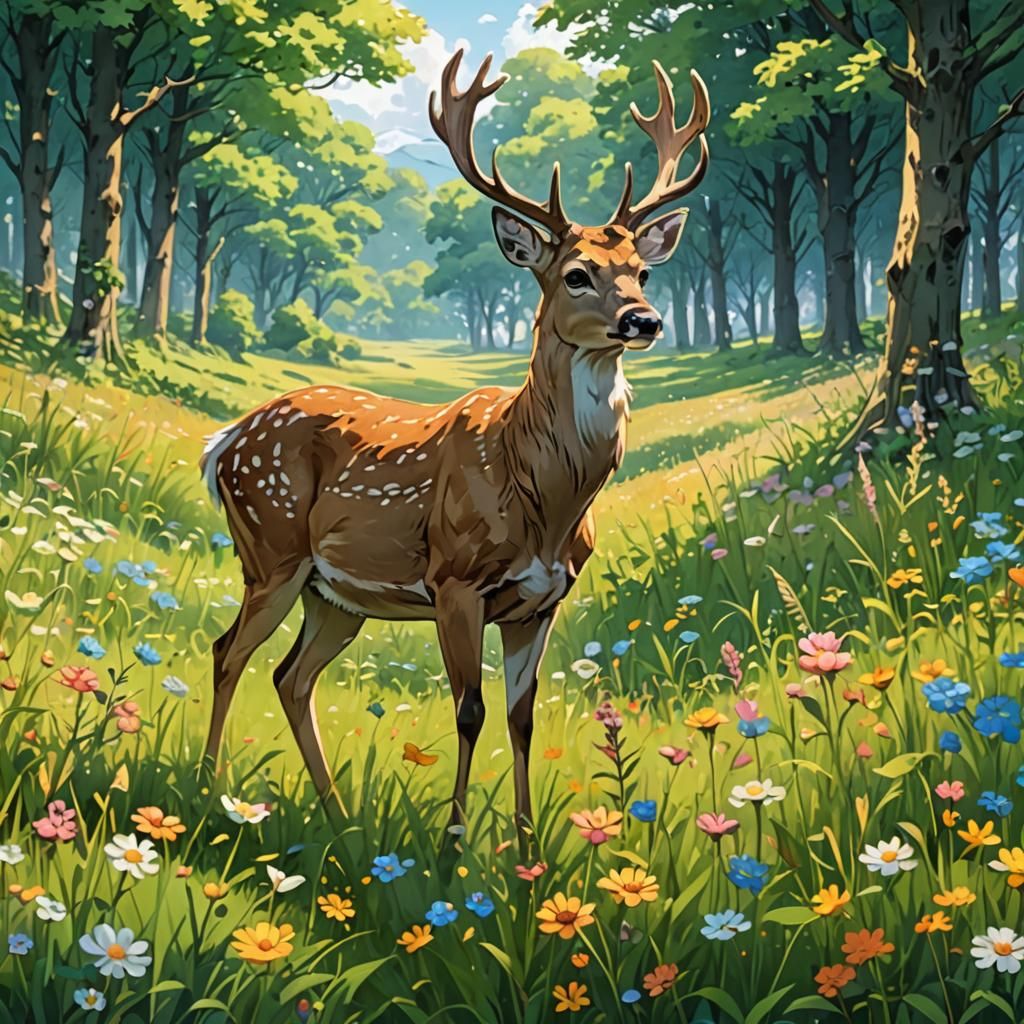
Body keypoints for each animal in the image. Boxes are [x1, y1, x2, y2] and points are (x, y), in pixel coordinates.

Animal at [199, 50, 710, 838]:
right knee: (229, 653)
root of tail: (224, 441)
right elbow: (469, 710)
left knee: (291, 676)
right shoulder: (454, 580)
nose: (645, 320)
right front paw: (454, 837)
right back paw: (208, 791)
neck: (544, 497)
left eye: (644, 270)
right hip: (270, 547)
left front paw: (527, 840)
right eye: (576, 274)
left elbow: (522, 717)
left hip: (335, 594)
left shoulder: (542, 600)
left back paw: (336, 815)